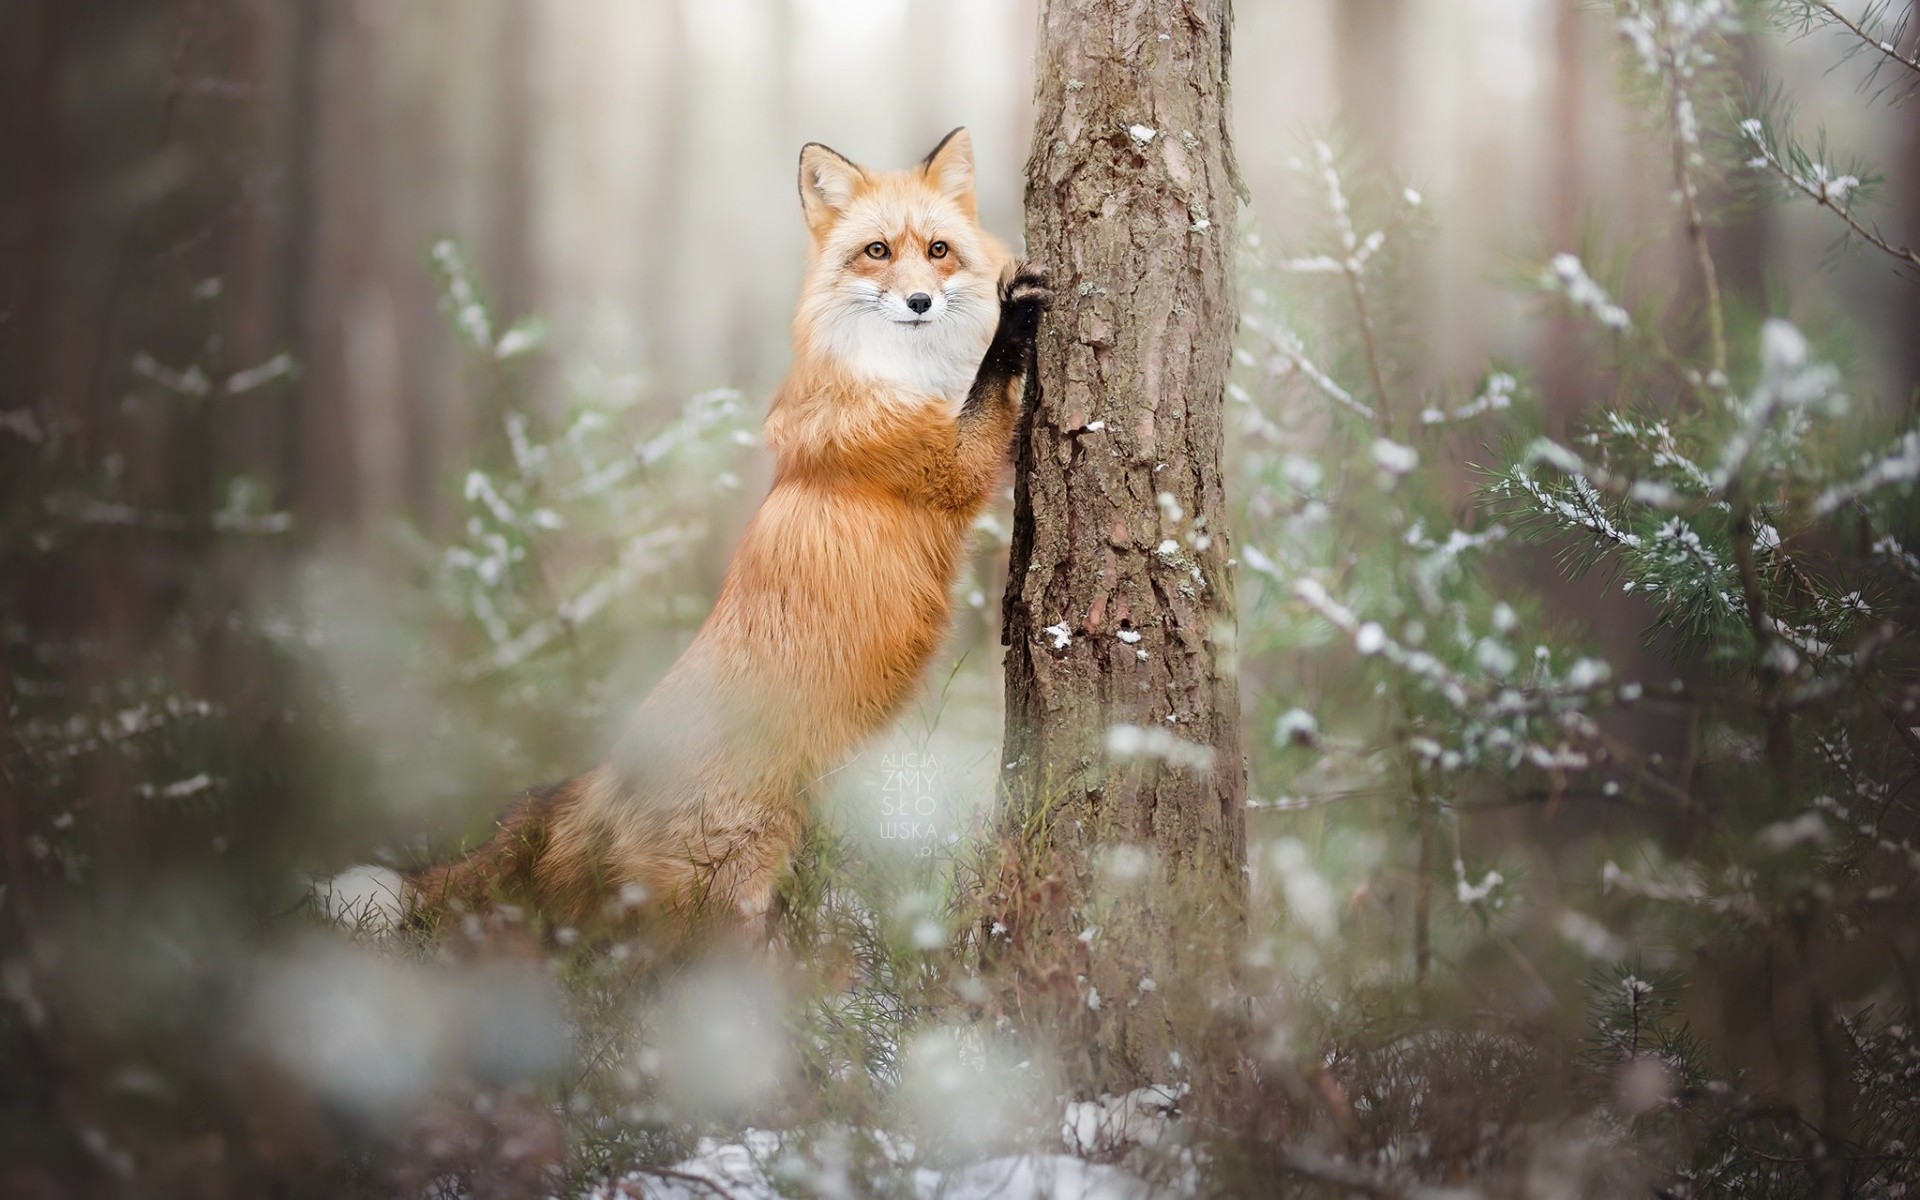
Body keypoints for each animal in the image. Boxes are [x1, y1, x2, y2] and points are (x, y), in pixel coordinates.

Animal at [323, 128, 1050, 941]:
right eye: (876, 252)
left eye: (938, 249)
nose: (921, 300)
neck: (910, 374)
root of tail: (603, 777)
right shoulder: (943, 465)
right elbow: (990, 388)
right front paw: (1014, 321)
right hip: (727, 896)